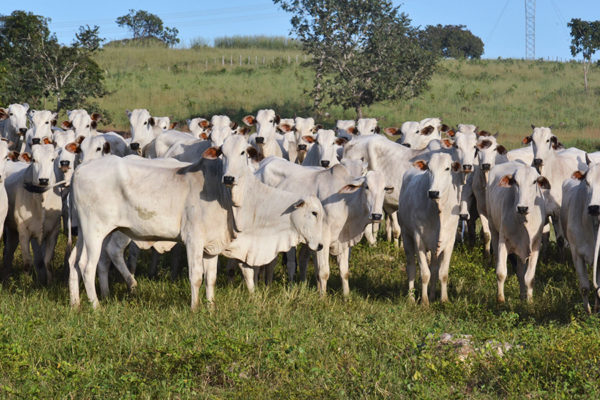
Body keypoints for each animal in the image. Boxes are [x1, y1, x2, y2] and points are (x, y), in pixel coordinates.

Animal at [400, 152, 462, 304]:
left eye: (447, 168)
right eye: (428, 168)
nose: (433, 193)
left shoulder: (450, 241)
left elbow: (442, 273)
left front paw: (444, 299)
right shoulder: (418, 239)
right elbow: (424, 273)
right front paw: (424, 301)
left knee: (434, 268)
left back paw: (433, 295)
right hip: (406, 235)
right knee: (411, 267)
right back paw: (411, 298)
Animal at [486, 161, 552, 302]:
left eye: (534, 181)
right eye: (515, 182)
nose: (522, 208)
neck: (523, 221)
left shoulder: (535, 245)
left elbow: (529, 277)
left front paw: (529, 301)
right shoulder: (503, 241)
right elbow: (501, 273)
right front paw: (500, 300)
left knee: (521, 273)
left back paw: (522, 295)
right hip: (493, 229)